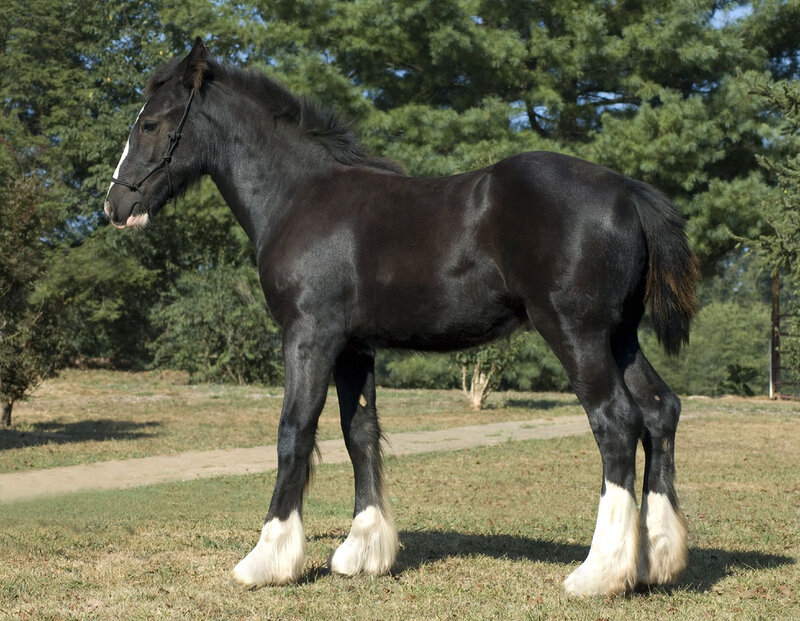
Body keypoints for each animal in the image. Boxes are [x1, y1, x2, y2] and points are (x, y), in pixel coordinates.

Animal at [104, 39, 699, 596]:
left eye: (151, 123)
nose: (114, 207)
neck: (300, 197)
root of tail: (627, 191)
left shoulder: (309, 336)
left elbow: (294, 431)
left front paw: (267, 559)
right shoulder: (354, 346)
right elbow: (359, 432)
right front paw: (363, 552)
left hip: (577, 334)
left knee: (616, 423)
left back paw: (599, 573)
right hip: (618, 337)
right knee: (659, 411)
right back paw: (656, 563)